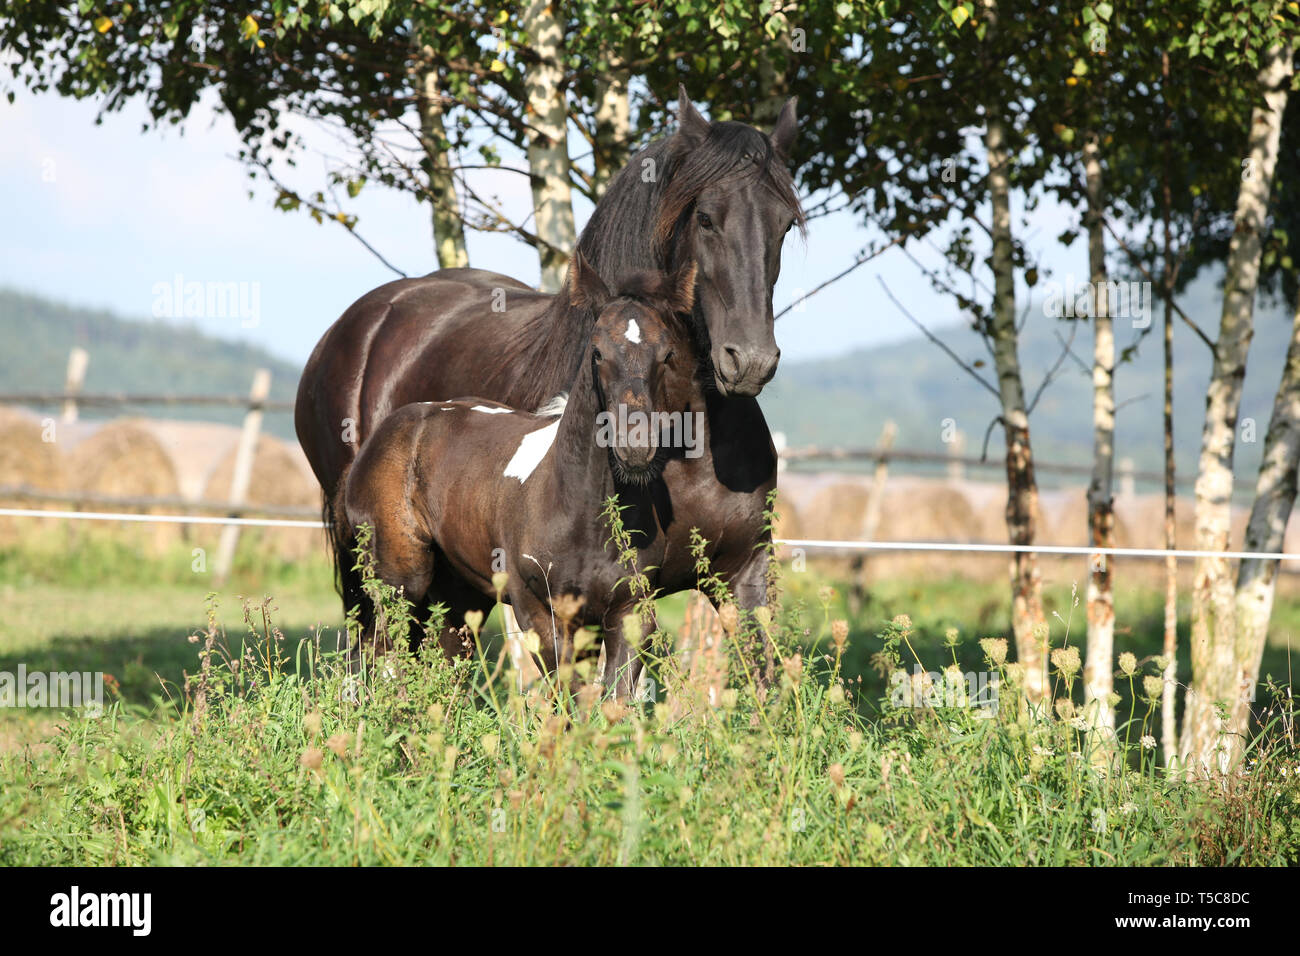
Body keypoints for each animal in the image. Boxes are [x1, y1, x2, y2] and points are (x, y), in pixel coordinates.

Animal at [335, 256, 702, 697]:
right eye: (597, 351)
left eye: (667, 353)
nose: (635, 446)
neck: (579, 512)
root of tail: (375, 443)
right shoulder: (539, 612)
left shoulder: (629, 614)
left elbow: (613, 700)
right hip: (399, 579)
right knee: (373, 656)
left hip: (458, 591)